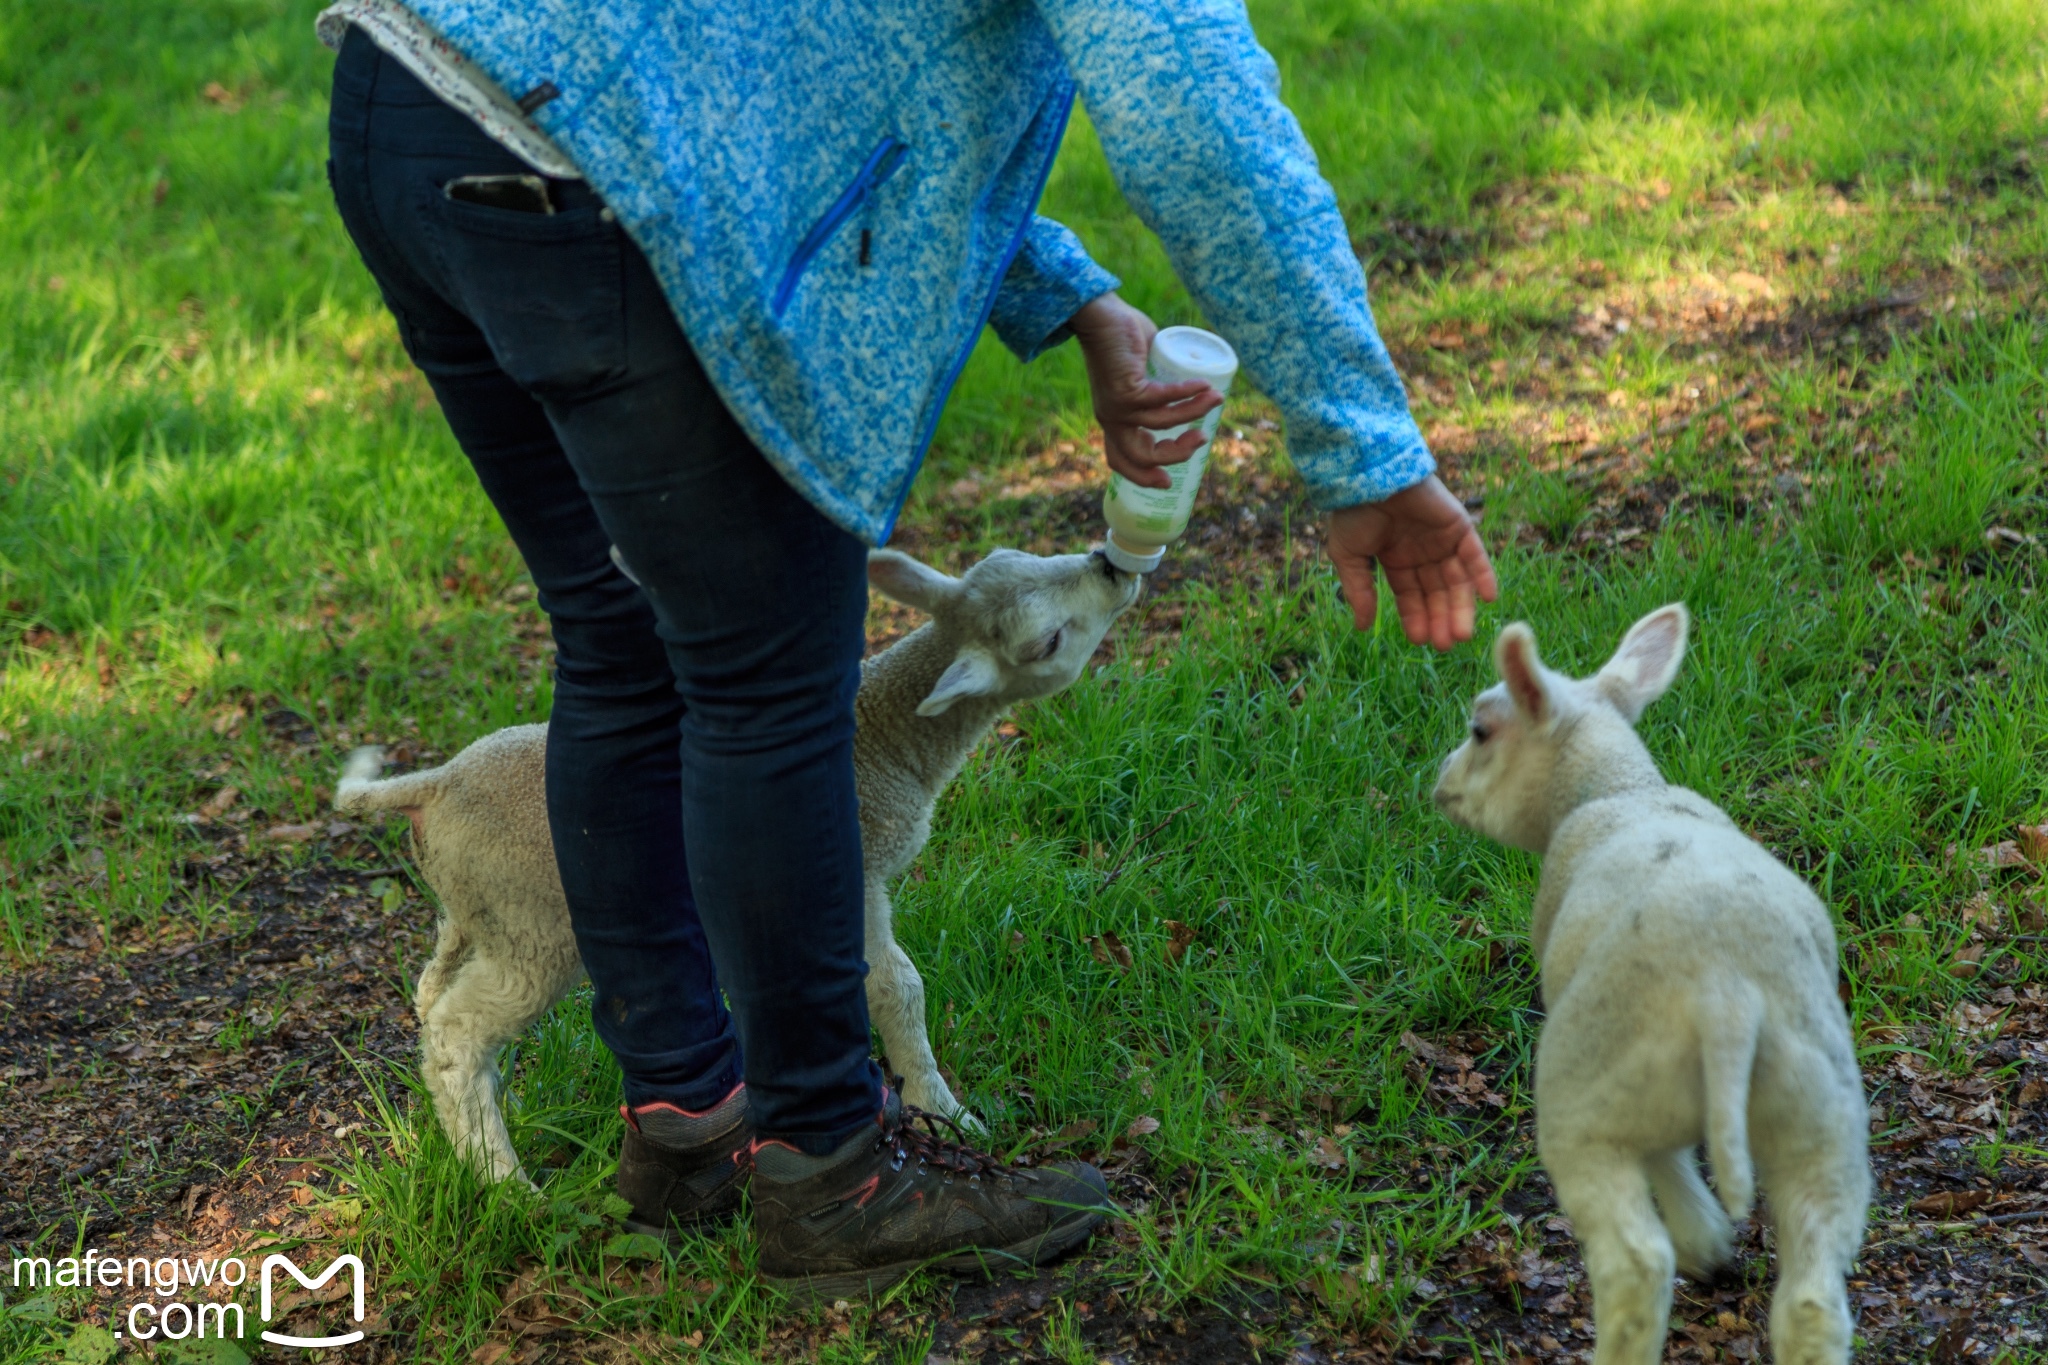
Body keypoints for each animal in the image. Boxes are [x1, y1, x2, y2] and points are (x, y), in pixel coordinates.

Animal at [333, 544, 1138, 1186]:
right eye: (1047, 640)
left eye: (1027, 558)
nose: (1110, 564)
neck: (884, 738)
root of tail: (432, 784)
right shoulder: (857, 872)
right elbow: (898, 986)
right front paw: (944, 1110)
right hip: (533, 927)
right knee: (458, 1034)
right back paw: (505, 1183)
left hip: (474, 910)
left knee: (430, 993)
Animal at [1433, 605, 1867, 1365]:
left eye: (1480, 729)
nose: (1441, 779)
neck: (1619, 789)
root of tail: (1726, 995)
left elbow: (1667, 1161)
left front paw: (1707, 1243)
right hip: (1822, 1116)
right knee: (1813, 1297)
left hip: (1593, 1094)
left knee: (1638, 1260)